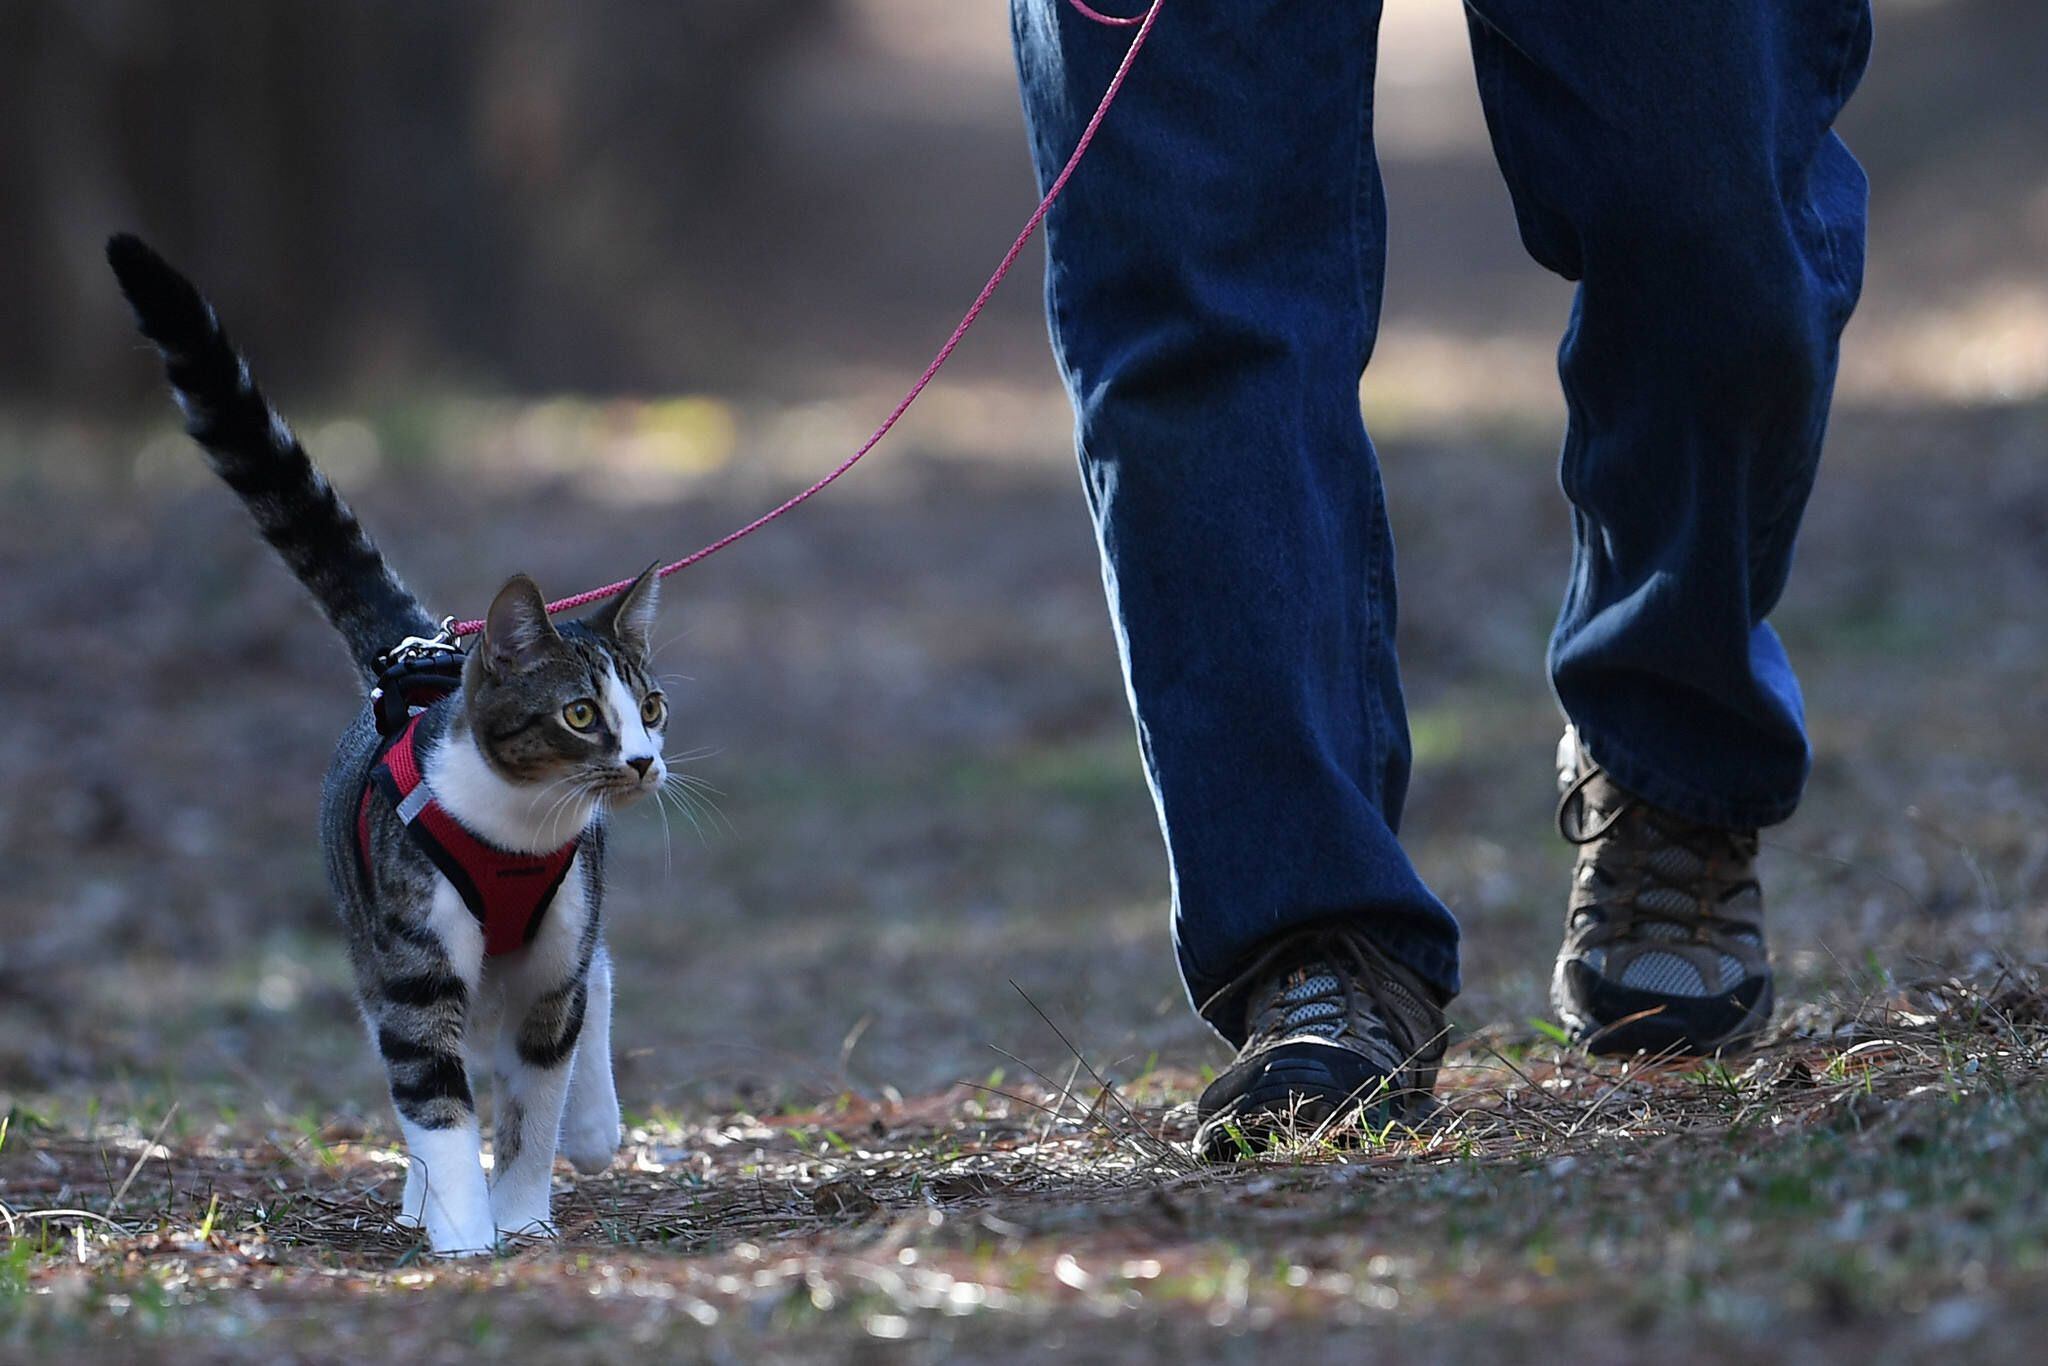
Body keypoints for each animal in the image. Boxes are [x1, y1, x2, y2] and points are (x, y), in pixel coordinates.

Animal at [108, 232, 667, 1253]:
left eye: (651, 707)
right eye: (580, 714)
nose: (644, 762)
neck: (521, 829)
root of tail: (418, 653)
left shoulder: (552, 960)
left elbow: (534, 1099)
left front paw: (522, 1220)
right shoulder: (411, 954)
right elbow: (434, 1097)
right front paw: (464, 1237)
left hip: (560, 930)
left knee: (591, 980)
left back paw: (595, 1127)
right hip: (369, 923)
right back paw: (425, 1193)